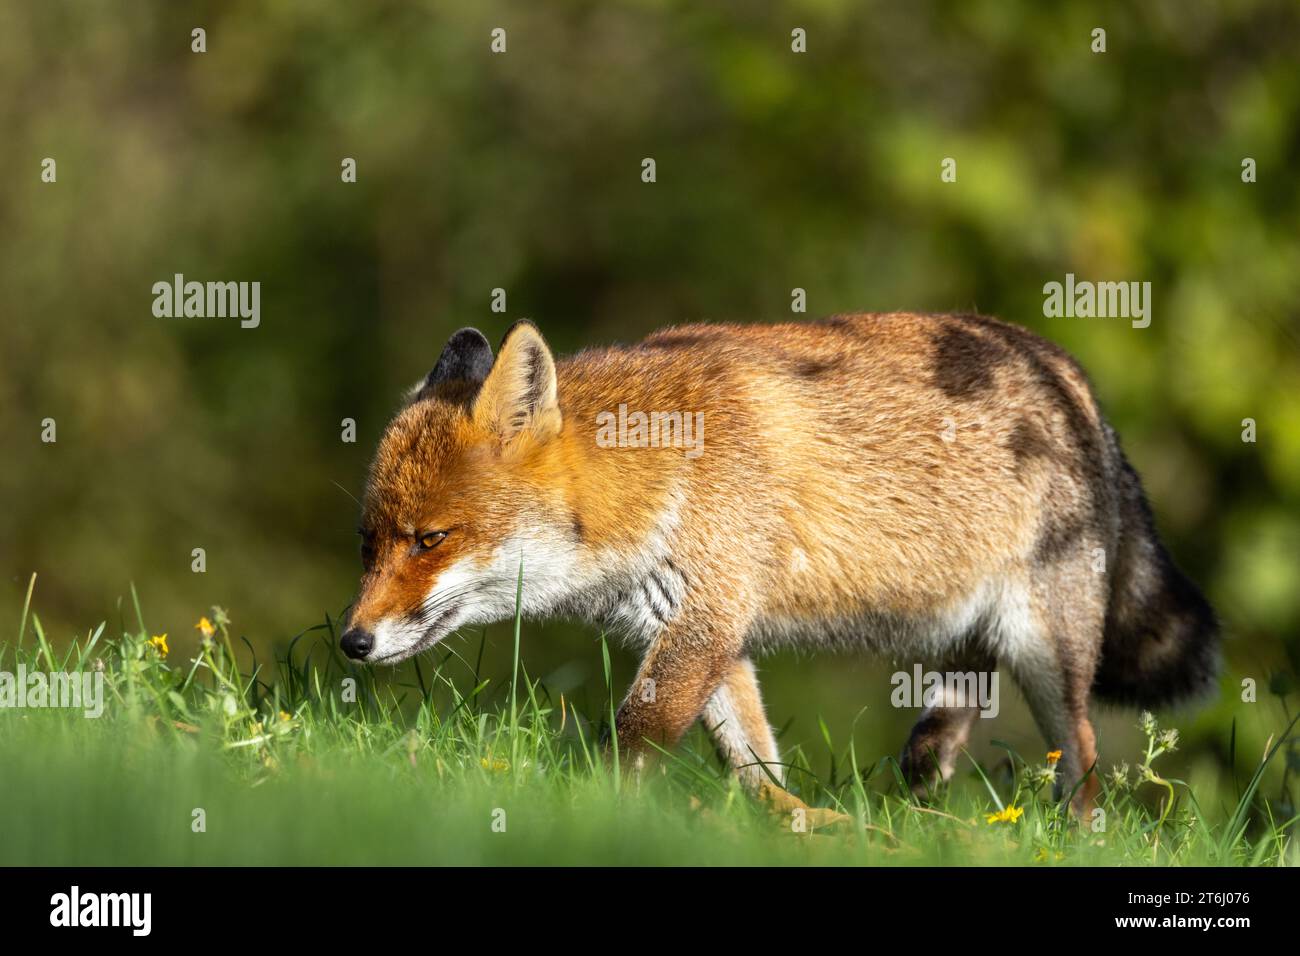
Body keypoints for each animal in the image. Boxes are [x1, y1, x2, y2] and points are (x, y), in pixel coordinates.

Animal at [343, 314, 1216, 816]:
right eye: (369, 543)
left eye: (429, 540)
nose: (352, 642)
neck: (660, 472)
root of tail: (1068, 373)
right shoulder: (703, 630)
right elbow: (751, 757)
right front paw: (792, 821)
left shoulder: (706, 616)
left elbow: (636, 735)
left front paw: (591, 808)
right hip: (963, 620)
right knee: (963, 694)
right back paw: (927, 778)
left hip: (1047, 649)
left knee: (1085, 769)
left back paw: (1072, 835)